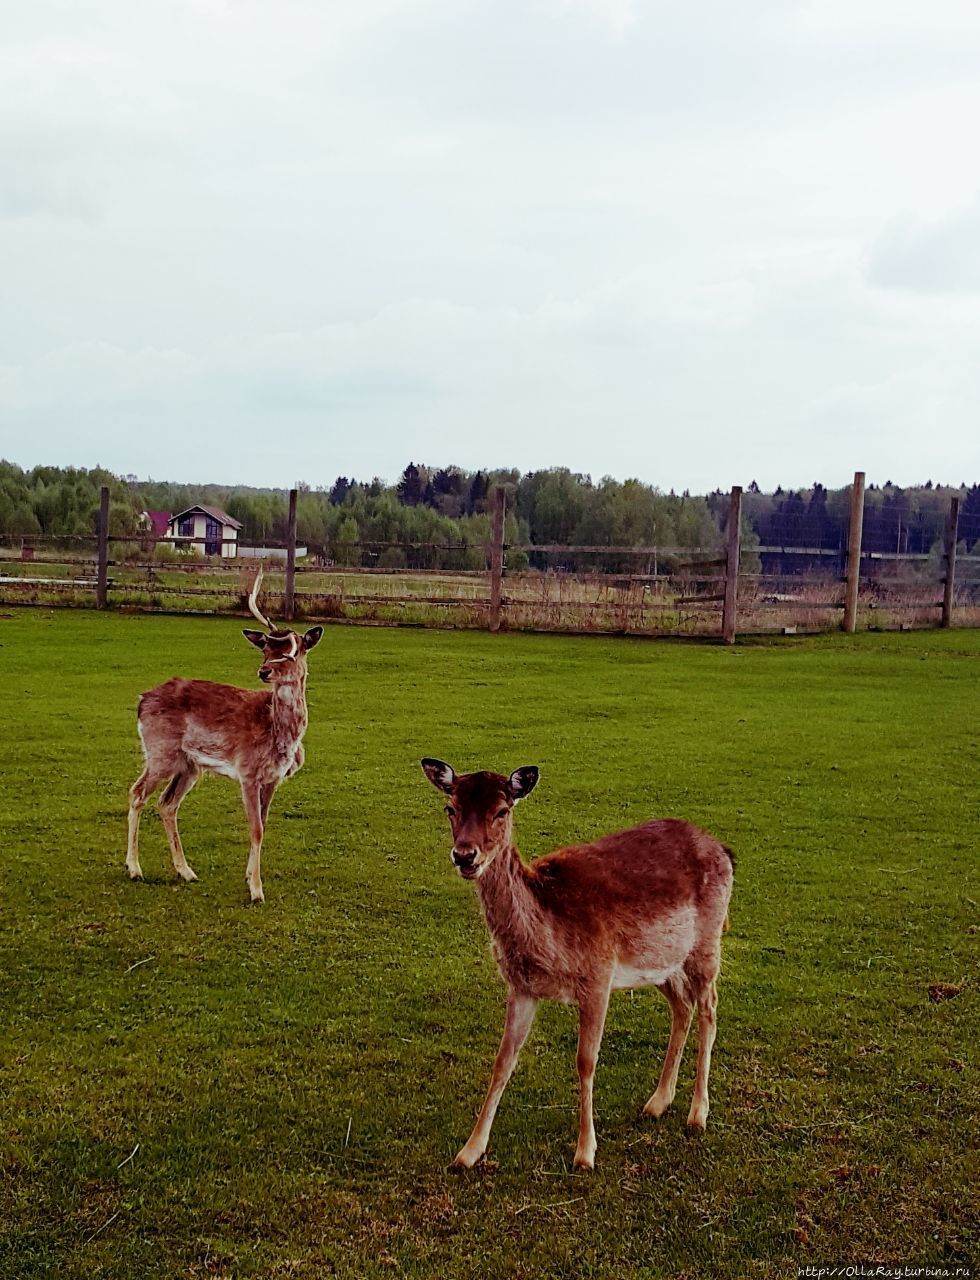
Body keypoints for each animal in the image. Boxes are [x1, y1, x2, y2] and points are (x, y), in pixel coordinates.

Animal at [124, 576, 326, 906]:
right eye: (265, 648)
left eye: (293, 652)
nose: (264, 671)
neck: (279, 734)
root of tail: (142, 700)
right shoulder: (247, 771)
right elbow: (255, 828)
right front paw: (256, 890)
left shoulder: (273, 778)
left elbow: (264, 825)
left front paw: (250, 877)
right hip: (160, 752)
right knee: (137, 792)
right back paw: (134, 869)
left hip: (189, 765)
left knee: (167, 803)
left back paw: (186, 871)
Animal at [422, 757, 736, 1172]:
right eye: (450, 807)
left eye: (502, 810)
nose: (464, 856)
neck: (547, 939)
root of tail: (725, 851)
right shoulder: (521, 987)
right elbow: (503, 1060)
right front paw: (469, 1152)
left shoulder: (598, 976)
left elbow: (586, 1060)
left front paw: (585, 1152)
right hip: (662, 961)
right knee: (681, 1007)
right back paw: (657, 1102)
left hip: (707, 943)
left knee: (709, 1009)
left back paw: (697, 1114)